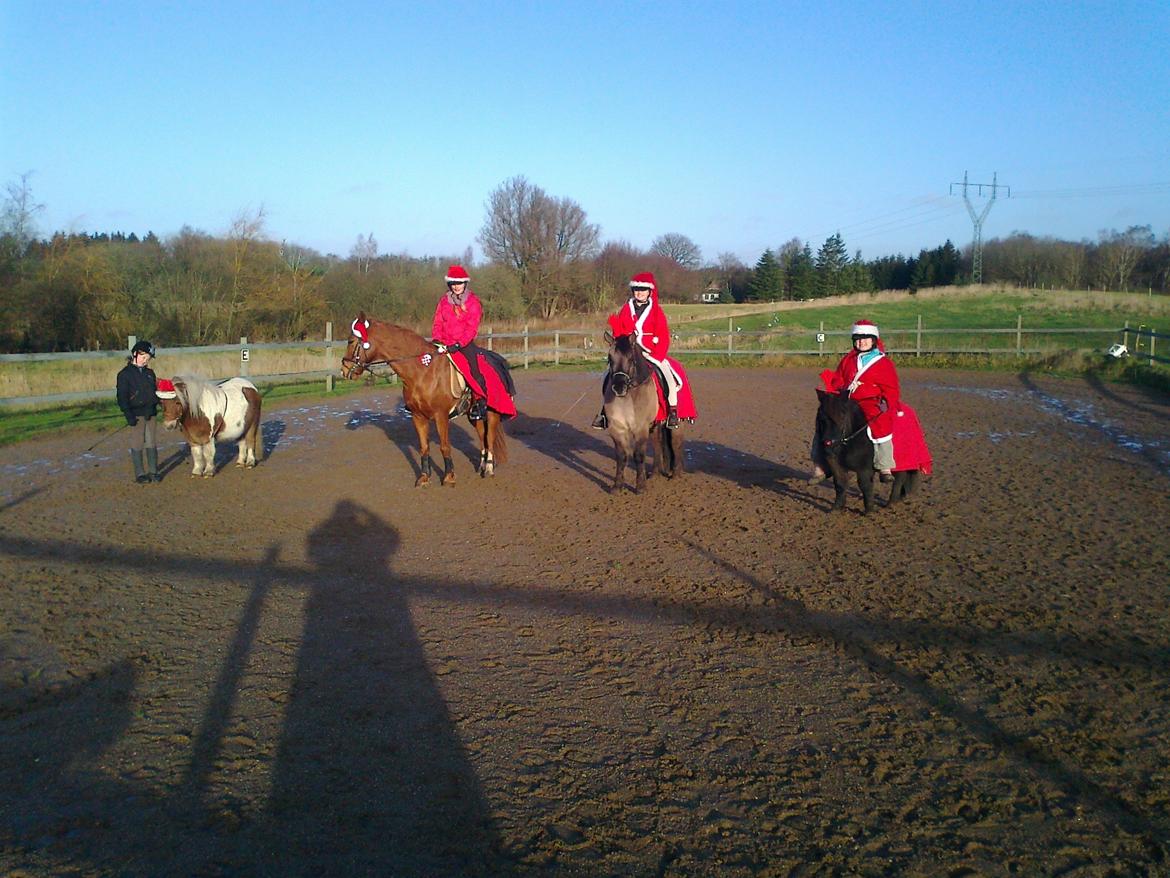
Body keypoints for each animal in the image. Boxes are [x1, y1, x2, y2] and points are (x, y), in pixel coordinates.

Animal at [336, 313, 505, 489]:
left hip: (492, 414)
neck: (423, 371)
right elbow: (424, 448)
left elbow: (445, 446)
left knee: (490, 437)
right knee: (482, 437)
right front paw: (424, 477)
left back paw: (489, 469)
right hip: (474, 416)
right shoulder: (418, 417)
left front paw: (449, 477)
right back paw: (481, 467)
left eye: (350, 341)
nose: (344, 370)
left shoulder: (441, 416)